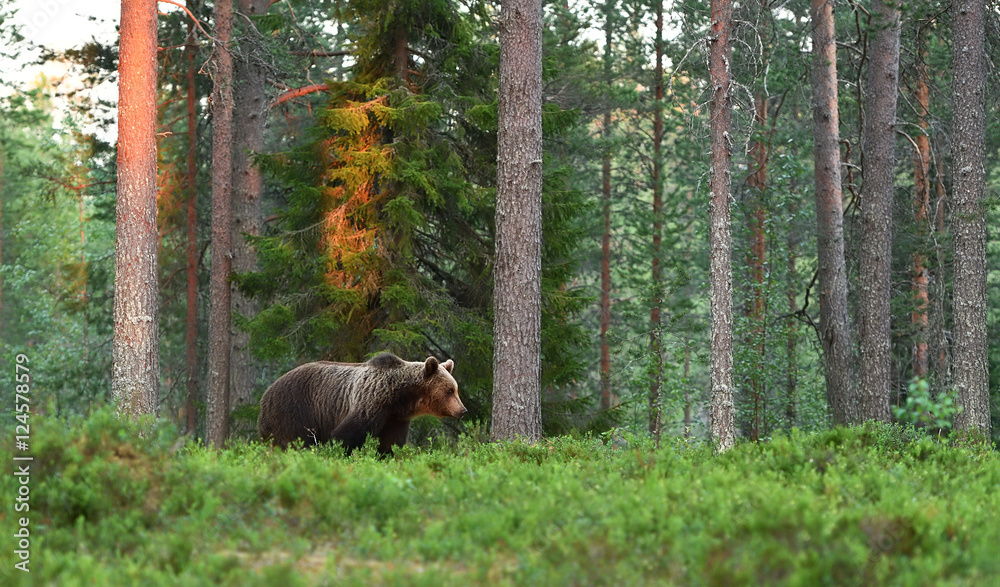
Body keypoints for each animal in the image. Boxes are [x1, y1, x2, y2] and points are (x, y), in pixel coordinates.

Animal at [257, 353, 466, 456]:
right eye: (450, 390)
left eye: (455, 389)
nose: (463, 410)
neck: (401, 398)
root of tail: (265, 394)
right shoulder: (371, 402)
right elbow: (348, 435)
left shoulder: (396, 419)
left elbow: (390, 443)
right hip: (293, 410)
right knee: (294, 441)